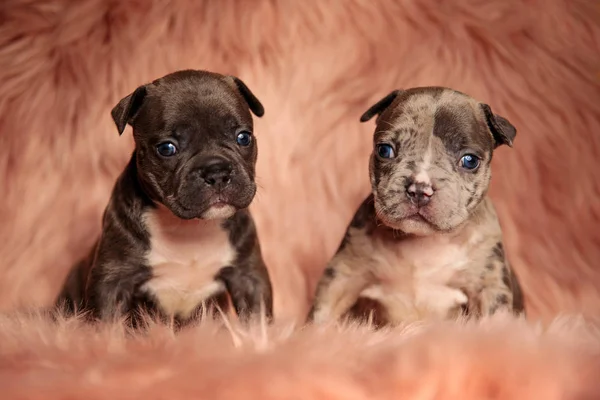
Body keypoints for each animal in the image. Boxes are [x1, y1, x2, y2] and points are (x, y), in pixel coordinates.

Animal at [56, 69, 272, 324]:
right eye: (167, 148)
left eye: (243, 138)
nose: (216, 172)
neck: (189, 227)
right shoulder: (112, 281)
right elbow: (108, 323)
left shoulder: (249, 277)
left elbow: (257, 320)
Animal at [310, 86, 524, 324]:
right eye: (384, 150)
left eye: (470, 161)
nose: (421, 189)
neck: (422, 242)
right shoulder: (344, 272)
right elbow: (323, 312)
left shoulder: (489, 284)